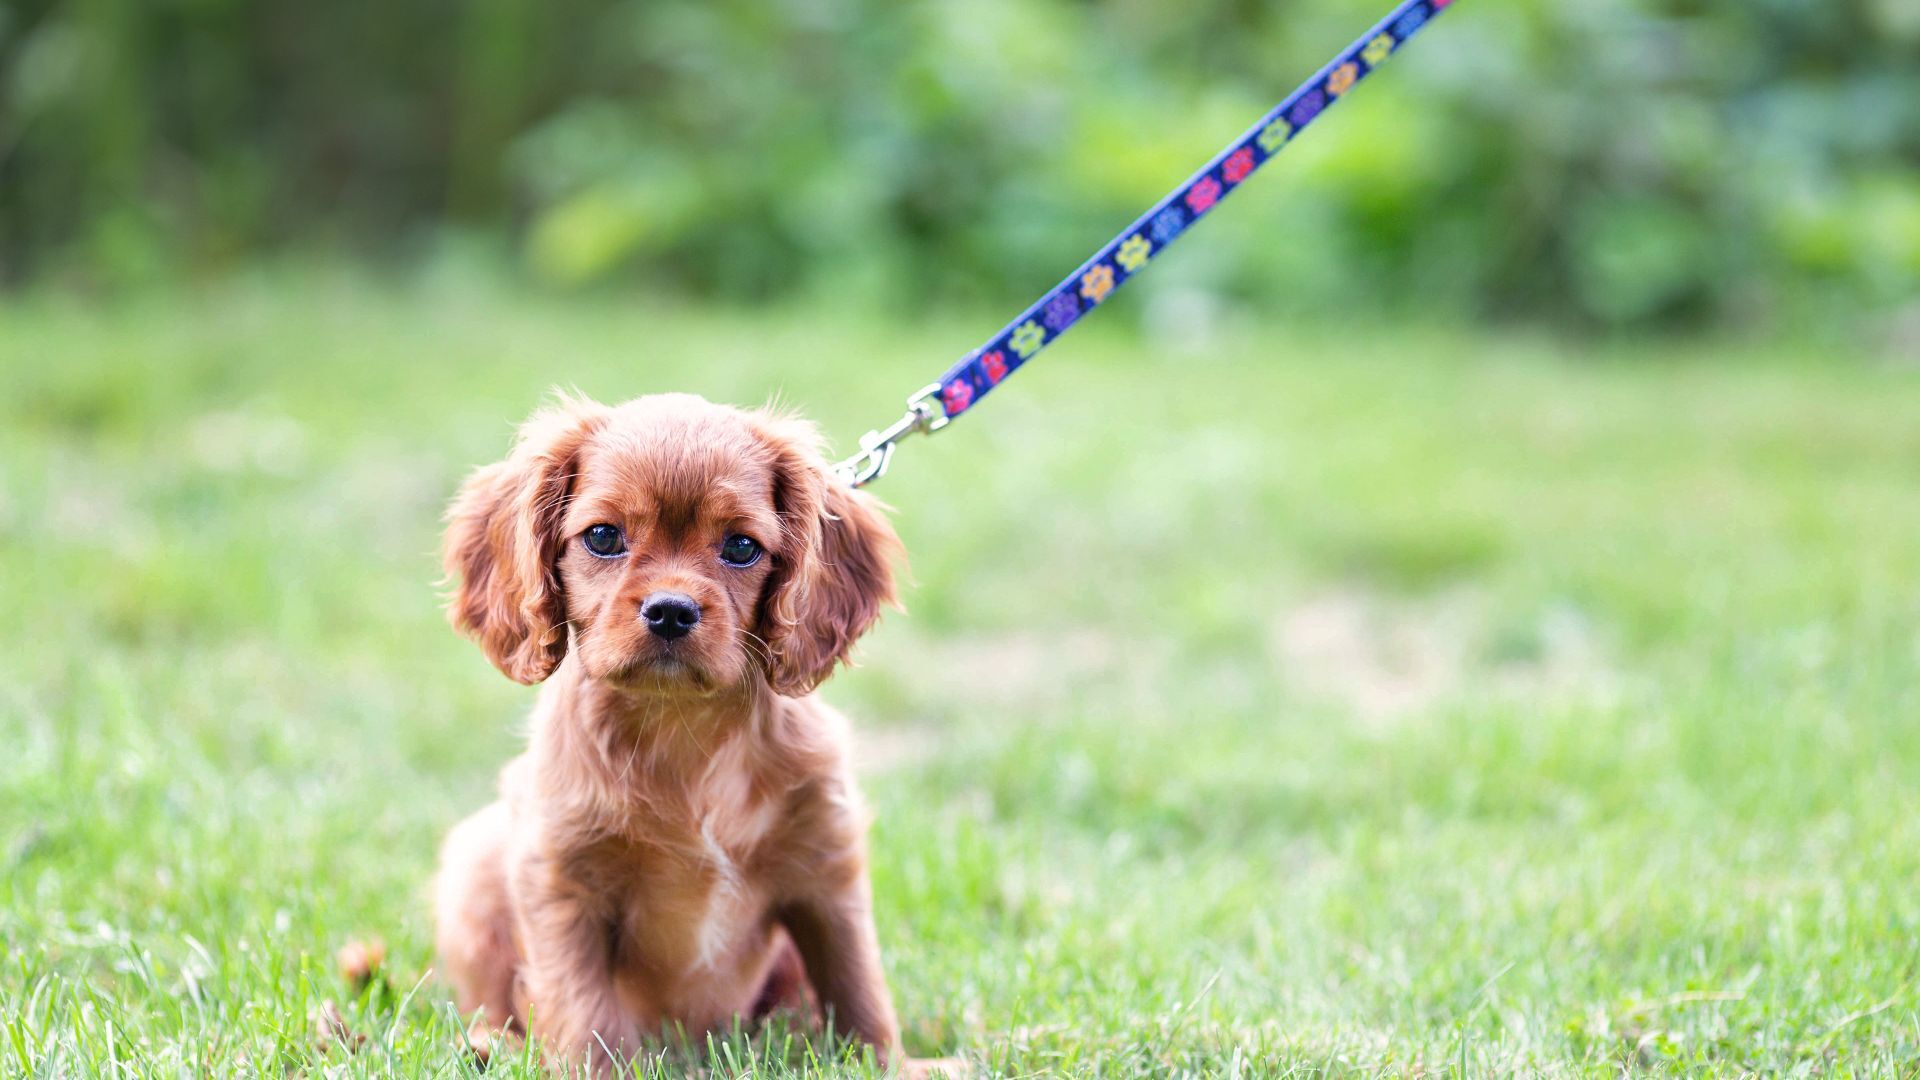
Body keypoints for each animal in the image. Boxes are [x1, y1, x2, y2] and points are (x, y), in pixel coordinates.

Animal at [435, 393, 906, 1068]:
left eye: (741, 547)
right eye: (603, 536)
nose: (670, 611)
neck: (681, 725)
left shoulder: (826, 870)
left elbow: (858, 988)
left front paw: (893, 1065)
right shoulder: (560, 881)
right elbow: (586, 1014)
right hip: (472, 863)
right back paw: (486, 1041)